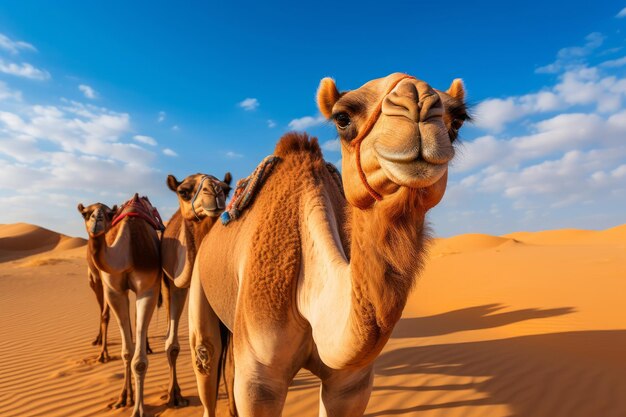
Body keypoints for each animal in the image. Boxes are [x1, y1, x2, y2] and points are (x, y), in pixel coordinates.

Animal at [160, 171, 233, 410]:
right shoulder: (173, 284)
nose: (215, 191)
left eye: (227, 189)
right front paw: (174, 397)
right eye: (183, 191)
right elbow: (174, 344)